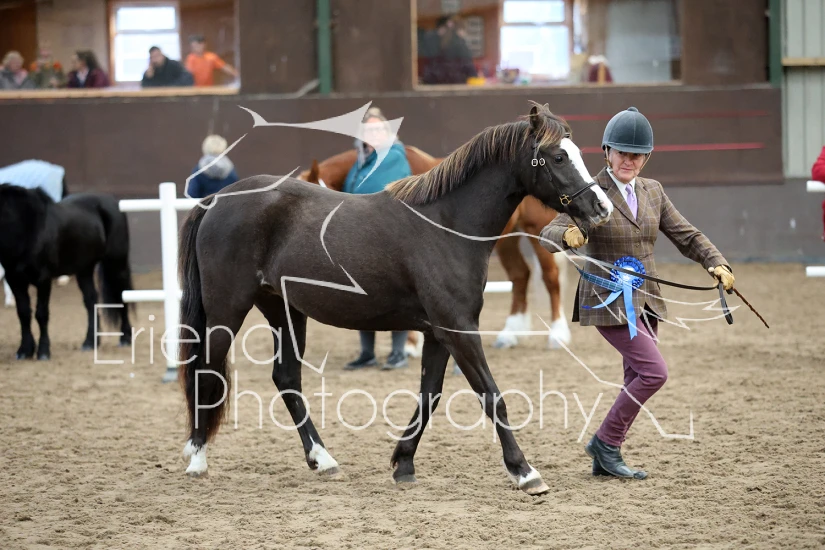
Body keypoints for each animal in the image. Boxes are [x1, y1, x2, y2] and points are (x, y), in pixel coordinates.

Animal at [0, 184, 133, 359]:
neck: (28, 230)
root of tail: (113, 201)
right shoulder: (15, 280)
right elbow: (23, 313)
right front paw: (24, 351)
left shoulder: (43, 279)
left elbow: (41, 314)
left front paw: (43, 352)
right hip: (84, 270)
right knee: (91, 300)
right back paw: (90, 342)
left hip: (116, 264)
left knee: (122, 296)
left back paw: (125, 338)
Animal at [298, 144, 571, 352]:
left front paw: (410, 346)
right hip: (508, 240)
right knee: (520, 276)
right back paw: (510, 333)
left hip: (536, 228)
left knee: (550, 278)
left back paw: (557, 335)